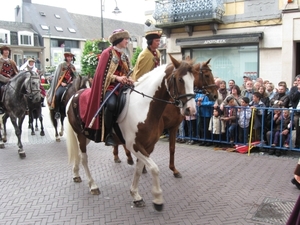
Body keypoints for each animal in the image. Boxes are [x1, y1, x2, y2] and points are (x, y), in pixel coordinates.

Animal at [65, 55, 197, 211]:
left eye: (193, 79)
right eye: (180, 79)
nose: (191, 110)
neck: (144, 106)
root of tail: (75, 95)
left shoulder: (148, 146)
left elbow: (139, 169)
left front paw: (136, 195)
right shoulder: (134, 145)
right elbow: (154, 168)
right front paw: (157, 199)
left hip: (87, 136)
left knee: (79, 155)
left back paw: (76, 174)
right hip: (80, 134)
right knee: (84, 158)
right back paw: (93, 185)